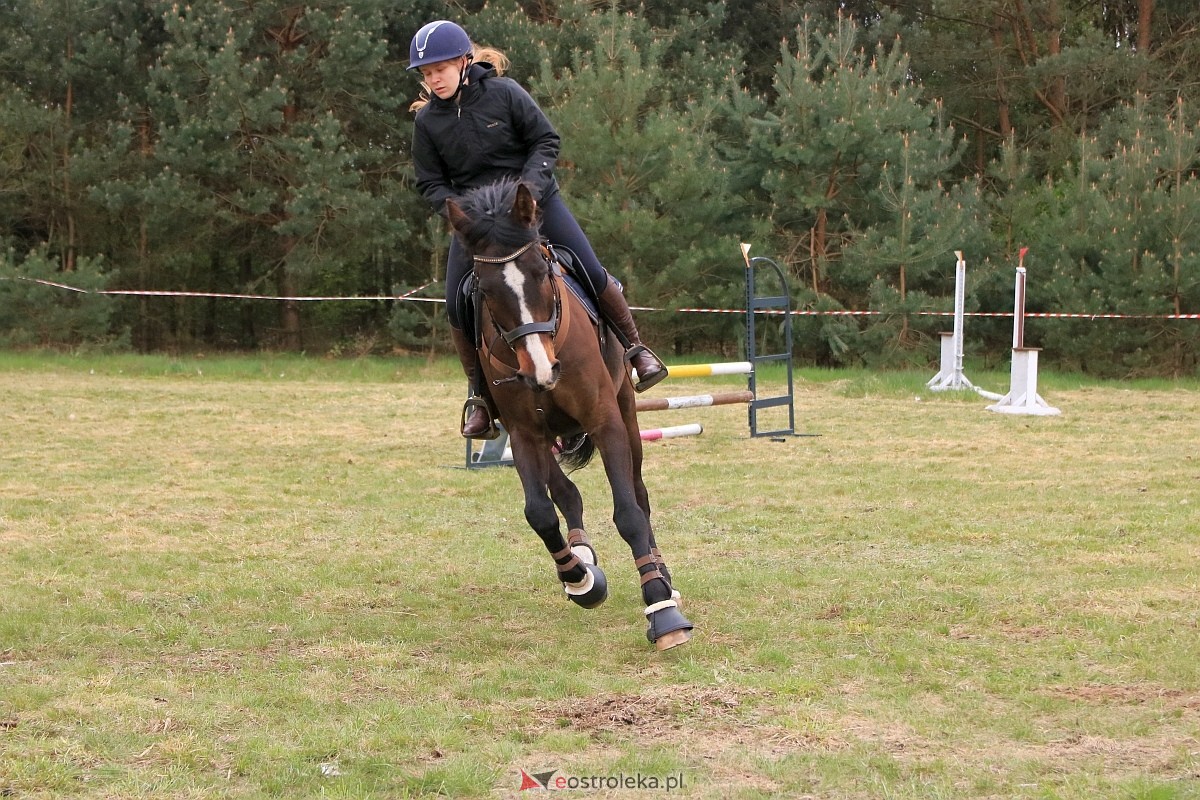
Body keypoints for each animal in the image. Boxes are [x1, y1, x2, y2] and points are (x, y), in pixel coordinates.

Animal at [446, 179, 696, 652]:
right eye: (485, 291)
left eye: (542, 273)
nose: (541, 372)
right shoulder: (524, 434)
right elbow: (540, 513)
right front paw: (580, 580)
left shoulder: (605, 421)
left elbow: (629, 512)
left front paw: (661, 607)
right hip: (545, 435)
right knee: (566, 493)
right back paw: (580, 554)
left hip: (628, 417)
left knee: (639, 494)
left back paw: (661, 574)